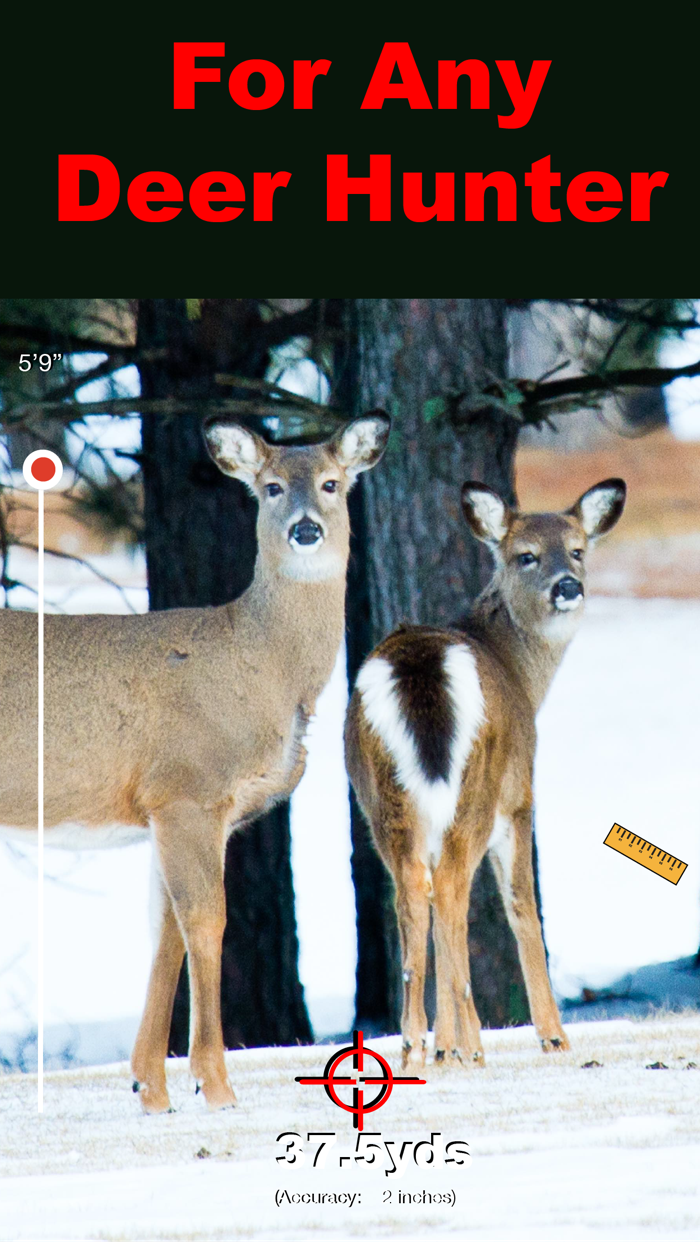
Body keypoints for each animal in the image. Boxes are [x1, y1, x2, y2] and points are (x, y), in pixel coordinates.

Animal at [0, 411, 390, 1114]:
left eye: (331, 482)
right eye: (269, 487)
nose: (306, 529)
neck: (260, 669)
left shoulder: (176, 810)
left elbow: (167, 932)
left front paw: (149, 1086)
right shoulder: (188, 789)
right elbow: (207, 923)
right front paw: (216, 1082)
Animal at [344, 476, 626, 1069]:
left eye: (578, 550)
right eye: (526, 556)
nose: (569, 586)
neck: (521, 674)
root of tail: (419, 666)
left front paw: (442, 1045)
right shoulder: (520, 798)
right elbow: (523, 907)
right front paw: (552, 1036)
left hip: (382, 800)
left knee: (414, 891)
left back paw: (414, 1045)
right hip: (476, 787)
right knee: (451, 888)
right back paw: (471, 1046)